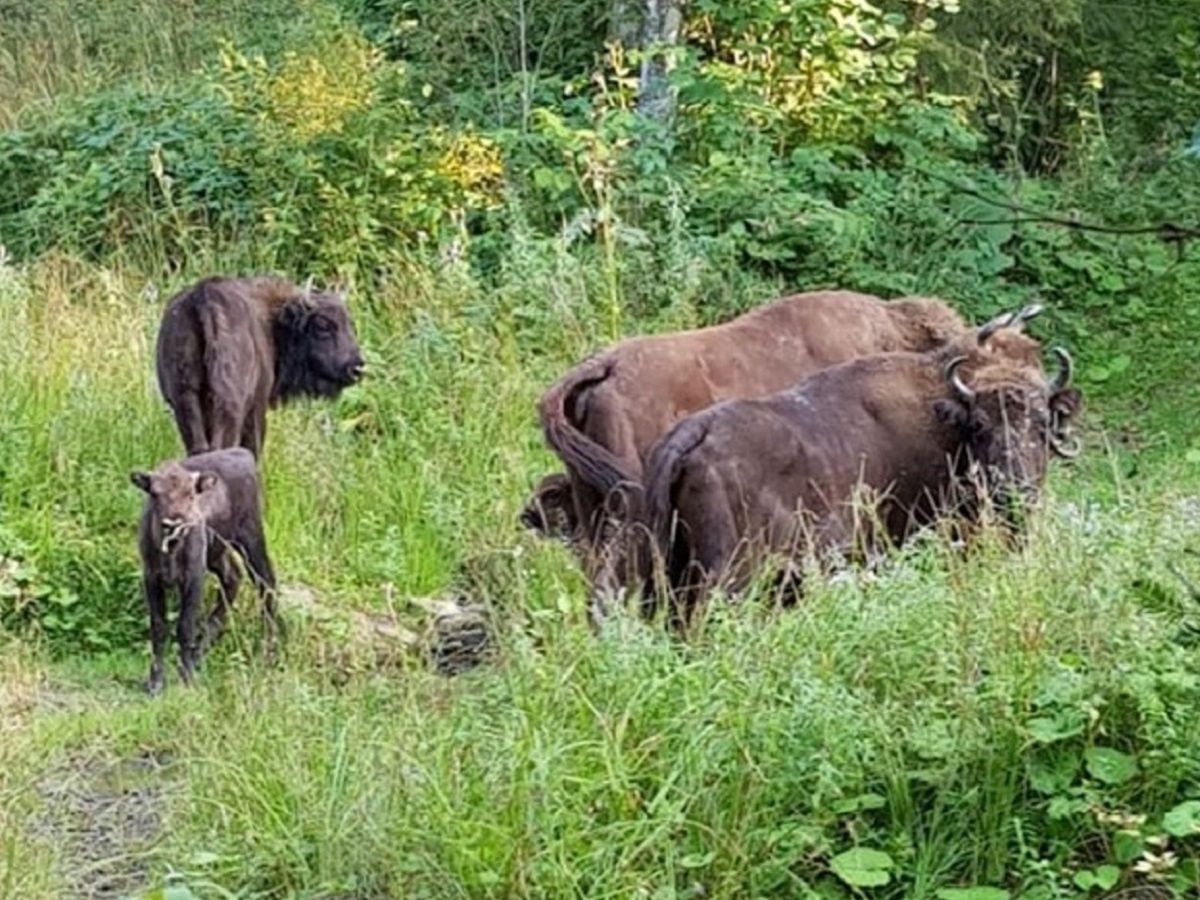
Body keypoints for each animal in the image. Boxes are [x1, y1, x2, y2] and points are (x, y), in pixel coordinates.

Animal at [130, 448, 278, 696]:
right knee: (232, 577)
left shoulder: (194, 578)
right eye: (155, 494)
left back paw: (272, 647)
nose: (174, 523)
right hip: (217, 552)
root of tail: (243, 453)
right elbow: (158, 627)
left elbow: (185, 626)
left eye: (190, 494)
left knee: (265, 582)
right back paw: (200, 653)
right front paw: (155, 683)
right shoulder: (151, 578)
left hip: (251, 538)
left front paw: (188, 679)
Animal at [159, 274, 364, 458]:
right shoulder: (257, 407)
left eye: (351, 325)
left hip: (185, 397)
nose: (357, 369)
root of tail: (202, 298)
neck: (274, 322)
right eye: (322, 325)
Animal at [643, 309, 1084, 628]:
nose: (1014, 490)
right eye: (979, 425)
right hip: (730, 575)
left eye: (1042, 422)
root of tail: (694, 433)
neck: (945, 423)